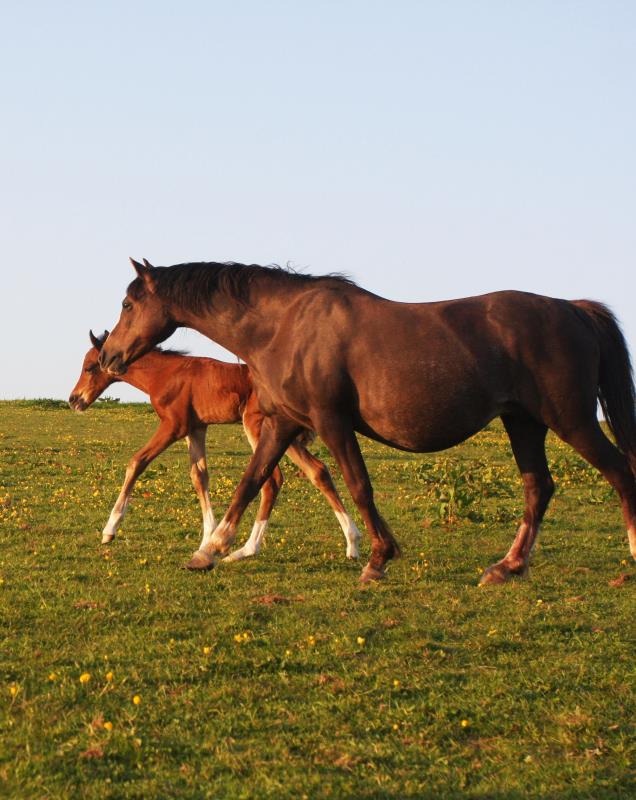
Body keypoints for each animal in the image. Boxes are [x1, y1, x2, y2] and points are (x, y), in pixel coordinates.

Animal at [68, 332, 362, 564]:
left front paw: (109, 529)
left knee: (273, 479)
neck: (165, 374)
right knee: (317, 471)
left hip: (257, 426)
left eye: (90, 367)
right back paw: (352, 543)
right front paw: (207, 538)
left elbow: (136, 462)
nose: (74, 400)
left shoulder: (173, 426)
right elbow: (199, 476)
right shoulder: (196, 428)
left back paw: (247, 549)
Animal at [98, 260, 636, 584]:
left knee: (619, 473)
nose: (109, 356)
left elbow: (358, 485)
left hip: (570, 421)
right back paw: (507, 566)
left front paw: (377, 558)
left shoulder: (331, 421)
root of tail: (574, 310)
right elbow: (251, 481)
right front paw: (210, 550)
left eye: (127, 304)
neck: (284, 326)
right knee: (538, 487)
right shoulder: (282, 424)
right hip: (523, 423)